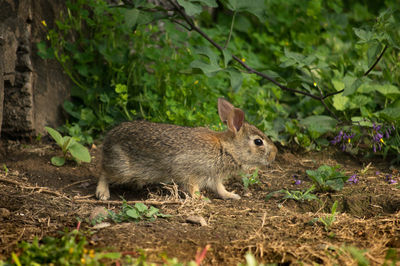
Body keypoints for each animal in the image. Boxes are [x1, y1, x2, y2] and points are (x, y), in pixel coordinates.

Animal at [96, 98, 278, 201]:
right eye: (258, 142)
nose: (275, 154)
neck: (226, 148)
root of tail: (109, 138)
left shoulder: (214, 177)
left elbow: (220, 189)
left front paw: (231, 196)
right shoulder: (189, 171)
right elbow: (192, 187)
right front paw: (201, 198)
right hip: (122, 168)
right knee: (103, 172)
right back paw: (102, 193)